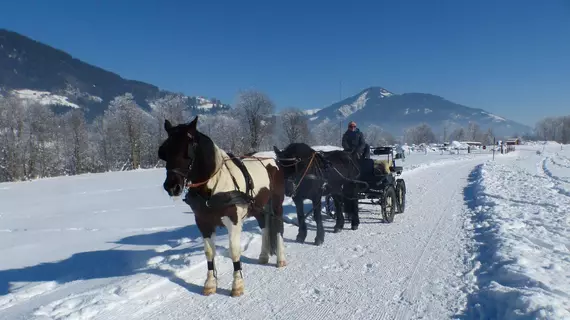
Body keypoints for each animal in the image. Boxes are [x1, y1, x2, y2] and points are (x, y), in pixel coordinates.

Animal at [158, 115, 286, 298]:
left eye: (187, 150)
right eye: (165, 151)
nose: (171, 186)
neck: (212, 188)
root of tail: (271, 159)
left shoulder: (233, 221)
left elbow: (234, 250)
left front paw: (237, 284)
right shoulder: (203, 222)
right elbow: (209, 252)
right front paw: (210, 284)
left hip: (276, 204)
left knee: (279, 227)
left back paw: (281, 259)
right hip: (257, 207)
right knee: (264, 227)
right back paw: (263, 256)